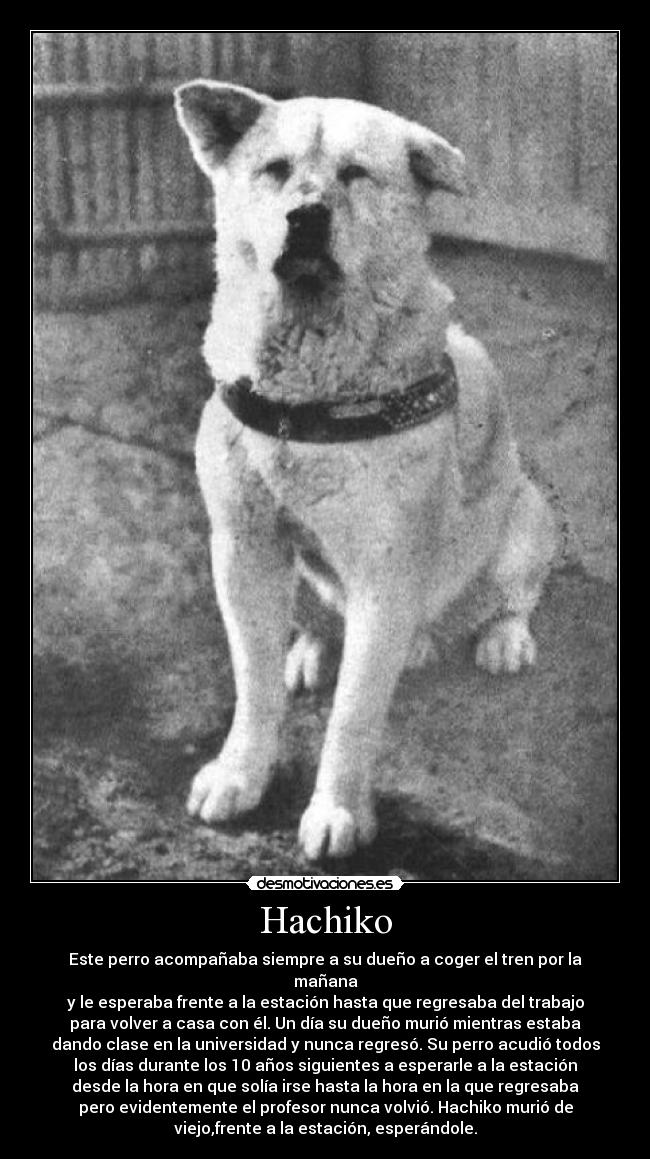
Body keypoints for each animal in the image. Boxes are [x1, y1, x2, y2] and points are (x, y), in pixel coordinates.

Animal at [174, 81, 556, 862]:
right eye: (276, 169)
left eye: (355, 174)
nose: (306, 217)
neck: (310, 397)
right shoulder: (242, 549)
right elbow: (252, 683)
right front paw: (239, 773)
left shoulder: (387, 572)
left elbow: (352, 715)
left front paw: (338, 811)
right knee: (321, 625)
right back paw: (313, 649)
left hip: (526, 518)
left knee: (511, 595)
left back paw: (501, 637)